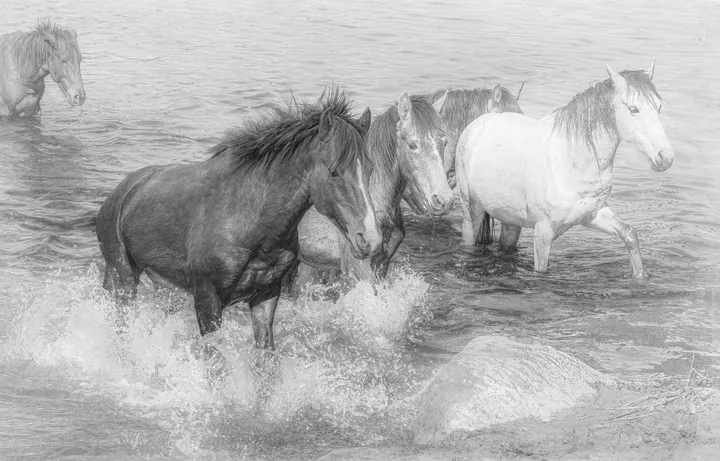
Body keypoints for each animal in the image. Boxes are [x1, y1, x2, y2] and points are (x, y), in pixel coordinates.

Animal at [95, 88, 383, 350]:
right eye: (334, 171)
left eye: (369, 169)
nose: (370, 239)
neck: (252, 222)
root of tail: (122, 192)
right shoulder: (207, 300)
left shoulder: (266, 295)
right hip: (123, 277)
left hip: (162, 284)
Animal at [455, 62, 674, 278]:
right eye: (634, 109)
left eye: (659, 107)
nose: (665, 158)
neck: (572, 163)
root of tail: (477, 124)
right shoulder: (543, 233)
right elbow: (541, 271)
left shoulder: (593, 214)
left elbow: (630, 234)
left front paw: (640, 277)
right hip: (471, 211)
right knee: (469, 239)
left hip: (511, 219)